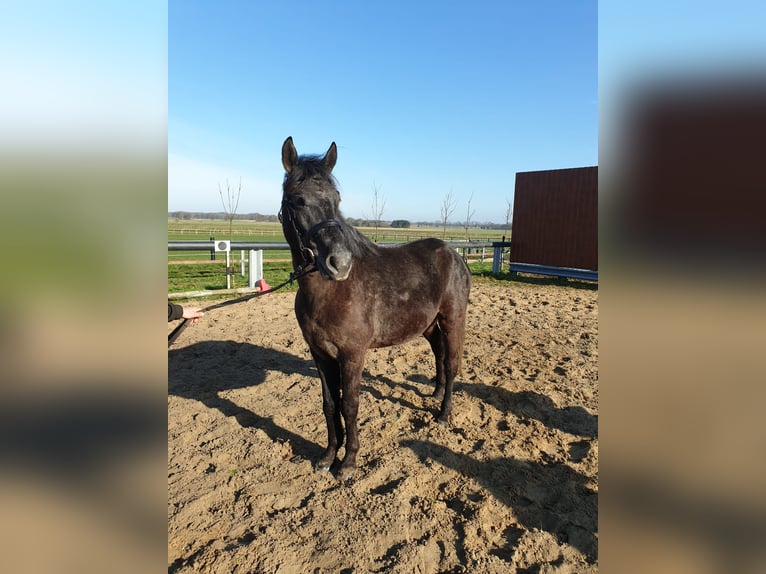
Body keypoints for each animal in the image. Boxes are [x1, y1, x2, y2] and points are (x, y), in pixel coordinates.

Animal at [279, 136, 472, 479]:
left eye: (336, 198)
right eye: (297, 200)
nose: (339, 263)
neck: (331, 291)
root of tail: (454, 254)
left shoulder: (352, 354)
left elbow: (349, 405)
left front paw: (348, 462)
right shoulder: (319, 353)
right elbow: (329, 404)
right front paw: (328, 456)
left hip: (453, 320)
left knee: (451, 364)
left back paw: (443, 413)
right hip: (428, 325)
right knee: (438, 354)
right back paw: (435, 394)